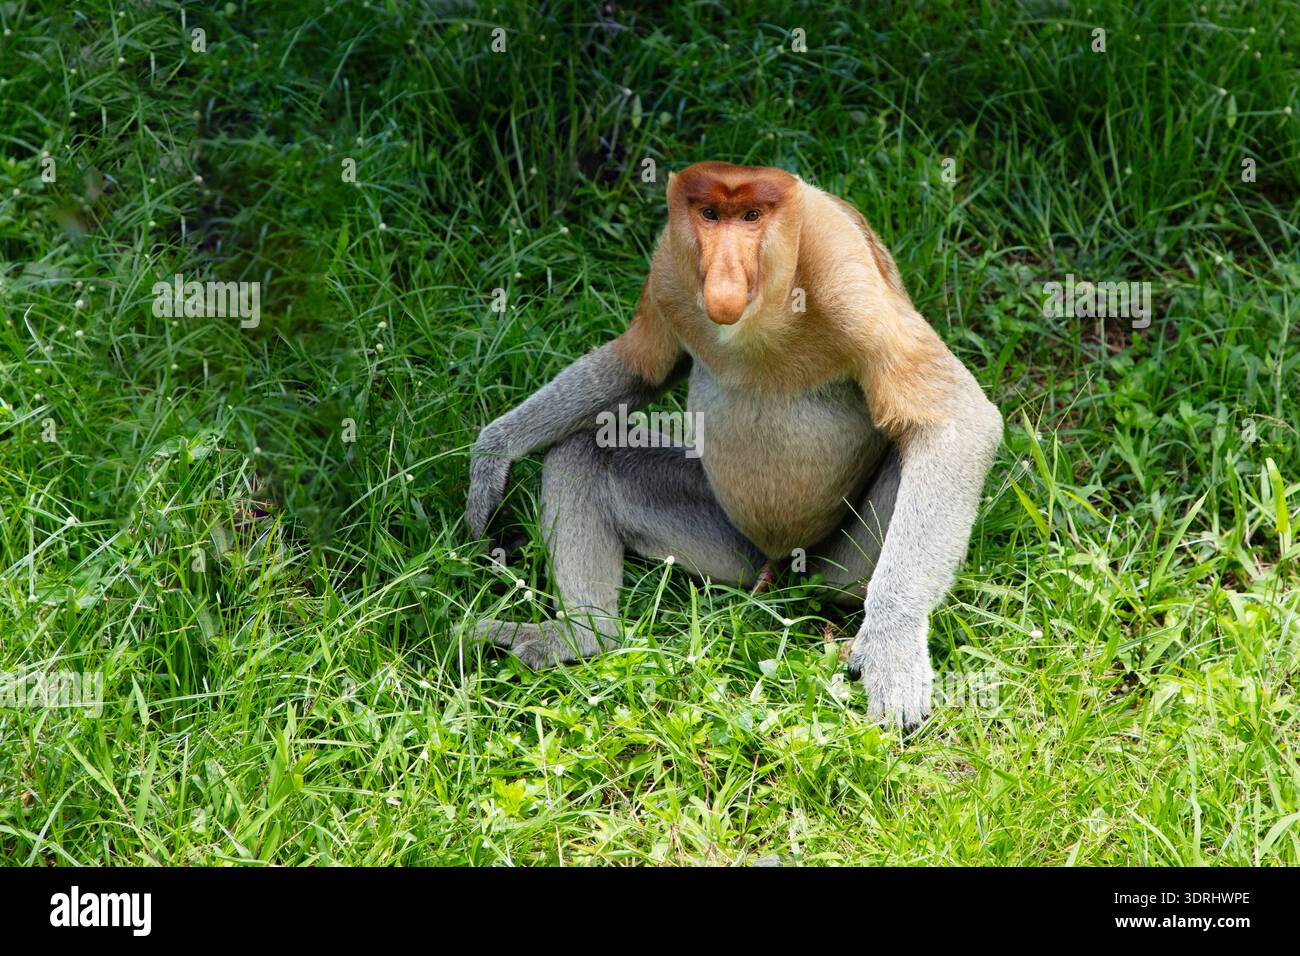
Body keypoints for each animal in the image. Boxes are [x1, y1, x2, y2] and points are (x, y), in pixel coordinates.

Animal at [465, 161, 1002, 728]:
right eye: (709, 215)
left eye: (751, 217)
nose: (723, 273)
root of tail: (780, 567)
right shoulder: (668, 272)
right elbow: (640, 367)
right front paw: (493, 456)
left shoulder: (845, 270)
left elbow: (955, 421)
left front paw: (893, 650)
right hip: (728, 547)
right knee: (581, 451)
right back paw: (583, 637)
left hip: (842, 565)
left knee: (909, 453)